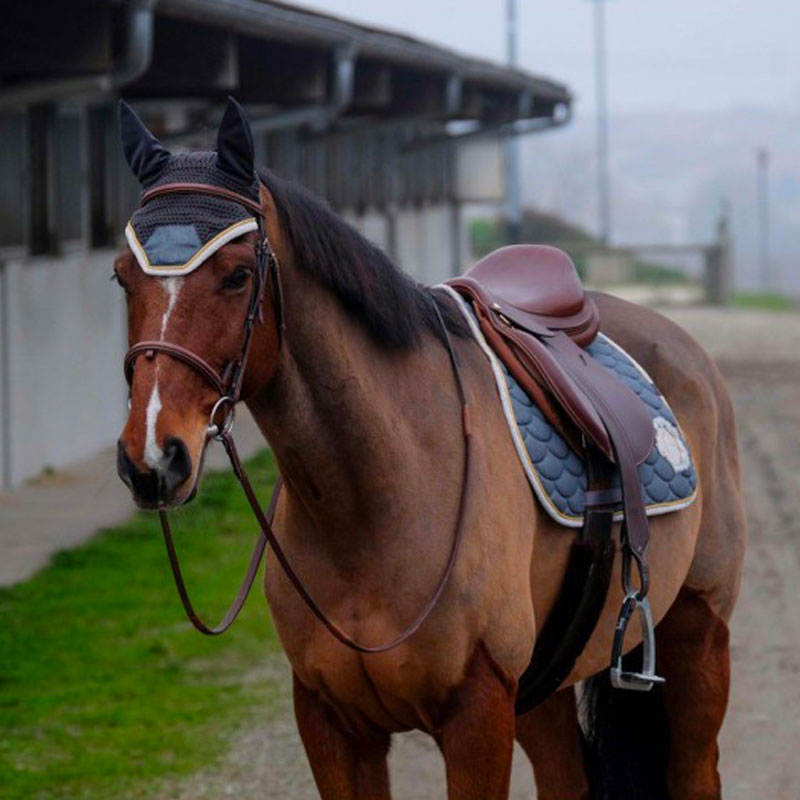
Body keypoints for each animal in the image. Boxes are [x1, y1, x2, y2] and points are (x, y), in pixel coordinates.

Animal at [115, 101, 748, 800]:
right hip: (543, 690)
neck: (379, 500)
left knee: (696, 770)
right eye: (121, 277)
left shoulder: (476, 715)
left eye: (238, 275)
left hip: (698, 638)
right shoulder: (332, 721)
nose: (154, 457)